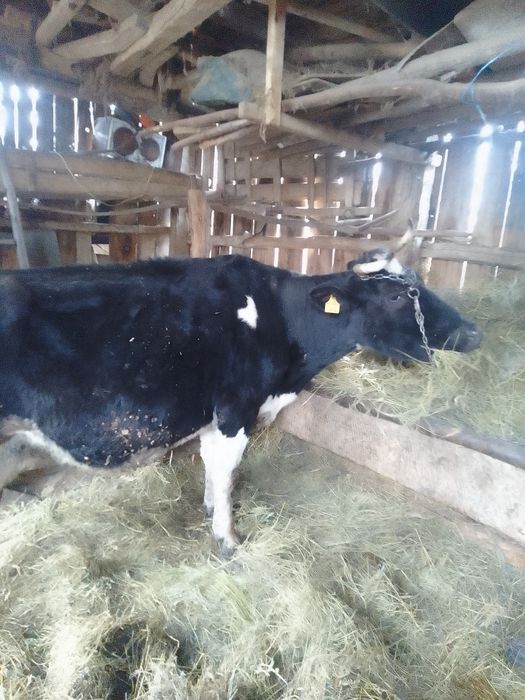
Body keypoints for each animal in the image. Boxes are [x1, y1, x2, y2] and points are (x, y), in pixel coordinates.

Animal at [0, 239, 480, 553]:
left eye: (420, 283)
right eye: (398, 295)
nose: (475, 332)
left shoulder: (217, 414)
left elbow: (211, 466)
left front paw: (210, 508)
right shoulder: (236, 407)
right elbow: (226, 469)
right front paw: (227, 536)